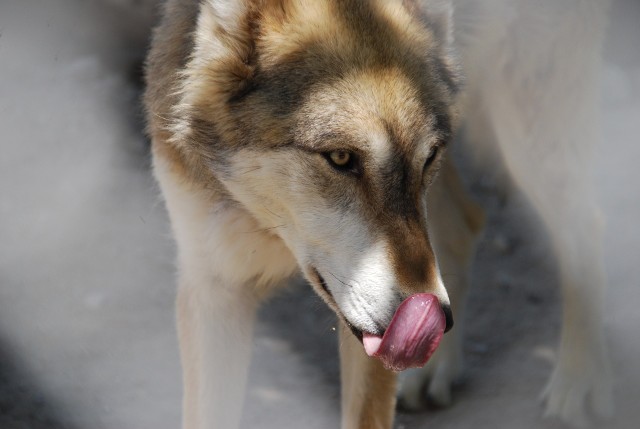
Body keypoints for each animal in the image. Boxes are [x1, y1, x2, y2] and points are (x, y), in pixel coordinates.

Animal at [142, 0, 612, 424]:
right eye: (341, 157)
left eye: (427, 157)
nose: (438, 319)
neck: (270, 227)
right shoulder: (213, 287)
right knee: (468, 221)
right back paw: (437, 371)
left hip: (530, 142)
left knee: (588, 224)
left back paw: (575, 386)